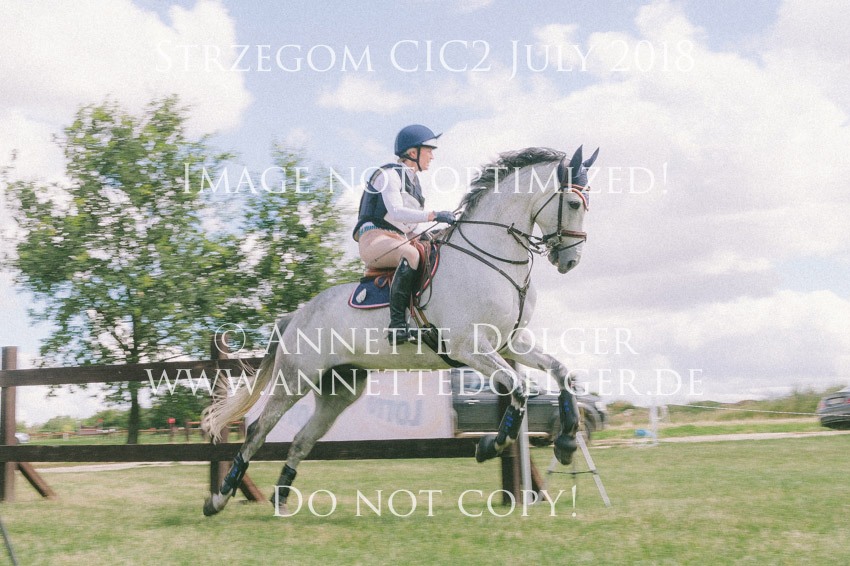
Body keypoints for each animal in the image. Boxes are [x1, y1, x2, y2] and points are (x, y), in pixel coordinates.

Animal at [201, 145, 599, 516]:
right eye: (573, 203)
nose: (570, 261)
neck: (490, 259)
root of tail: (294, 317)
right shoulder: (469, 347)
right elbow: (517, 388)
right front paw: (490, 445)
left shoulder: (510, 342)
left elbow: (561, 372)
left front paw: (566, 443)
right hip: (295, 378)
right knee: (259, 431)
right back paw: (218, 499)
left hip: (340, 389)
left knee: (302, 439)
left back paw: (281, 500)